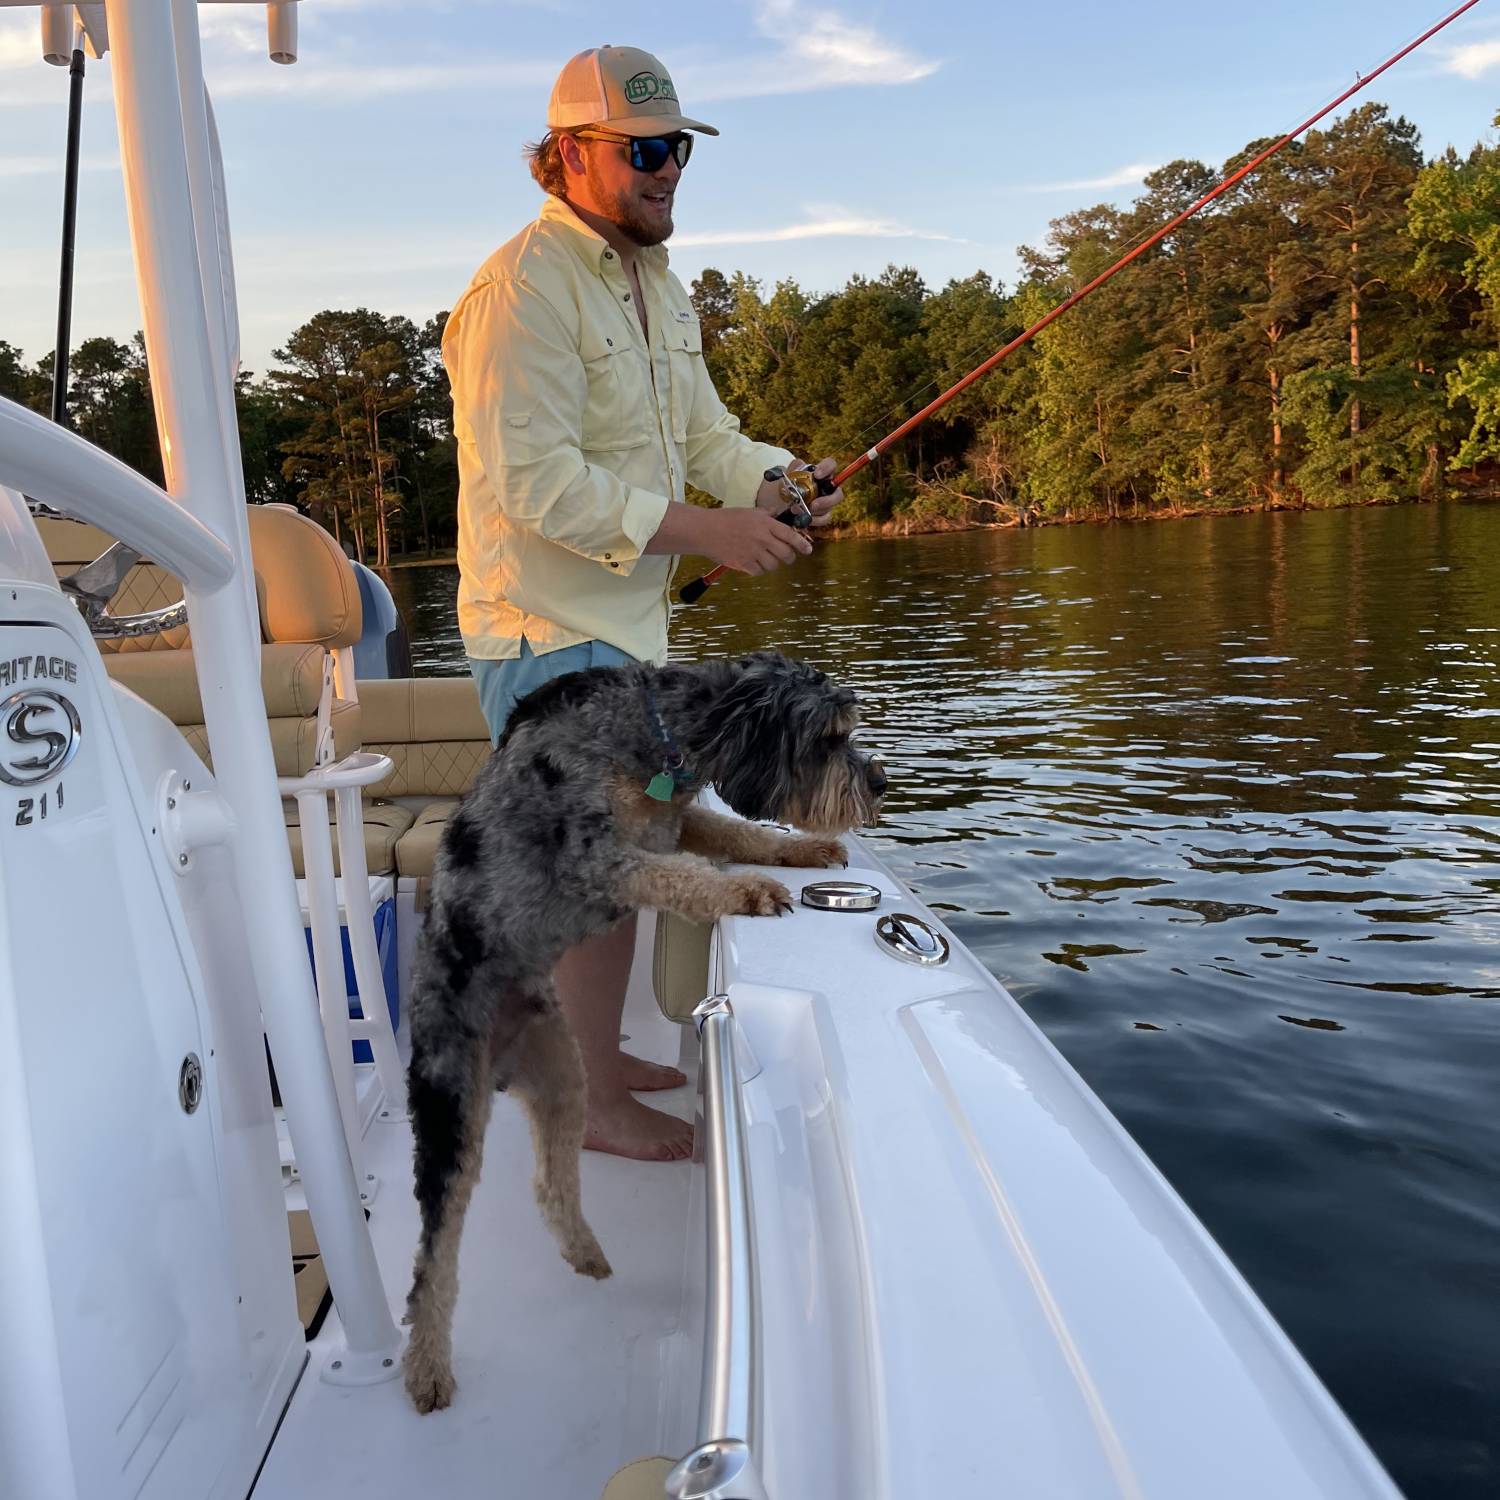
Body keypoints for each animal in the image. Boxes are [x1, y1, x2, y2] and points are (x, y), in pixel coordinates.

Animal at [405, 651, 882, 1410]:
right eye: (828, 738)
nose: (880, 781)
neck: (650, 735)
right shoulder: (597, 856)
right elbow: (679, 874)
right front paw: (744, 889)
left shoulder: (673, 821)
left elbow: (733, 833)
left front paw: (802, 850)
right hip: (449, 1104)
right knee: (435, 1256)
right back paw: (426, 1370)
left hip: (561, 1073)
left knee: (551, 1182)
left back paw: (588, 1253)